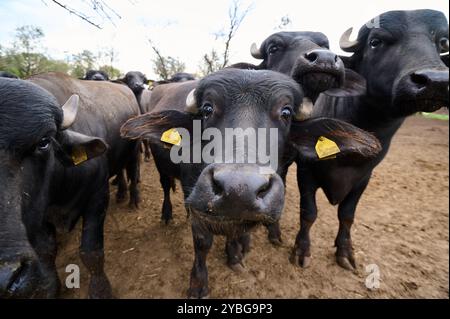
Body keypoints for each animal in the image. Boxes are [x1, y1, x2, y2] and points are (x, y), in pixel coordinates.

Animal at [0, 79, 111, 298]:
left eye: (44, 142)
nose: (5, 279)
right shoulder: (38, 216)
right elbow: (46, 251)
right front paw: (51, 287)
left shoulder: (99, 195)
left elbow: (91, 251)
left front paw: (100, 290)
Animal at [121, 69, 382, 298]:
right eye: (207, 109)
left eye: (286, 113)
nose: (239, 190)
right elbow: (203, 243)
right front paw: (198, 284)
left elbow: (235, 233)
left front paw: (235, 256)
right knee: (166, 187)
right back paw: (167, 215)